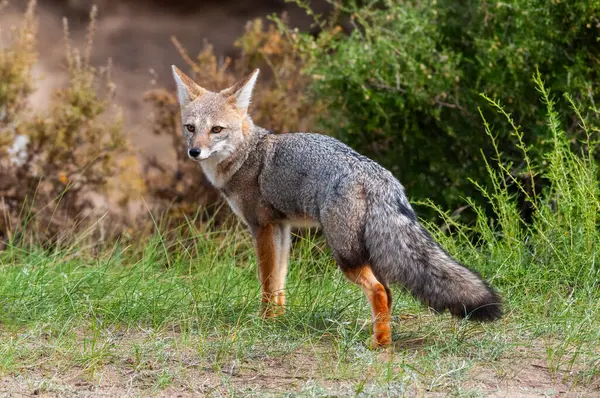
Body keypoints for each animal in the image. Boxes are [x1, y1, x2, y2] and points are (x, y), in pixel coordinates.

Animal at [171, 65, 500, 346]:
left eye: (216, 130)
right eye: (190, 128)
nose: (194, 152)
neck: (247, 155)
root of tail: (377, 175)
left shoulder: (260, 226)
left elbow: (266, 281)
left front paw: (263, 320)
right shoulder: (281, 227)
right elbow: (279, 280)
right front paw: (278, 319)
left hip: (345, 254)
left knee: (379, 290)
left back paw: (379, 344)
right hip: (366, 252)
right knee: (389, 292)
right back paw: (379, 333)